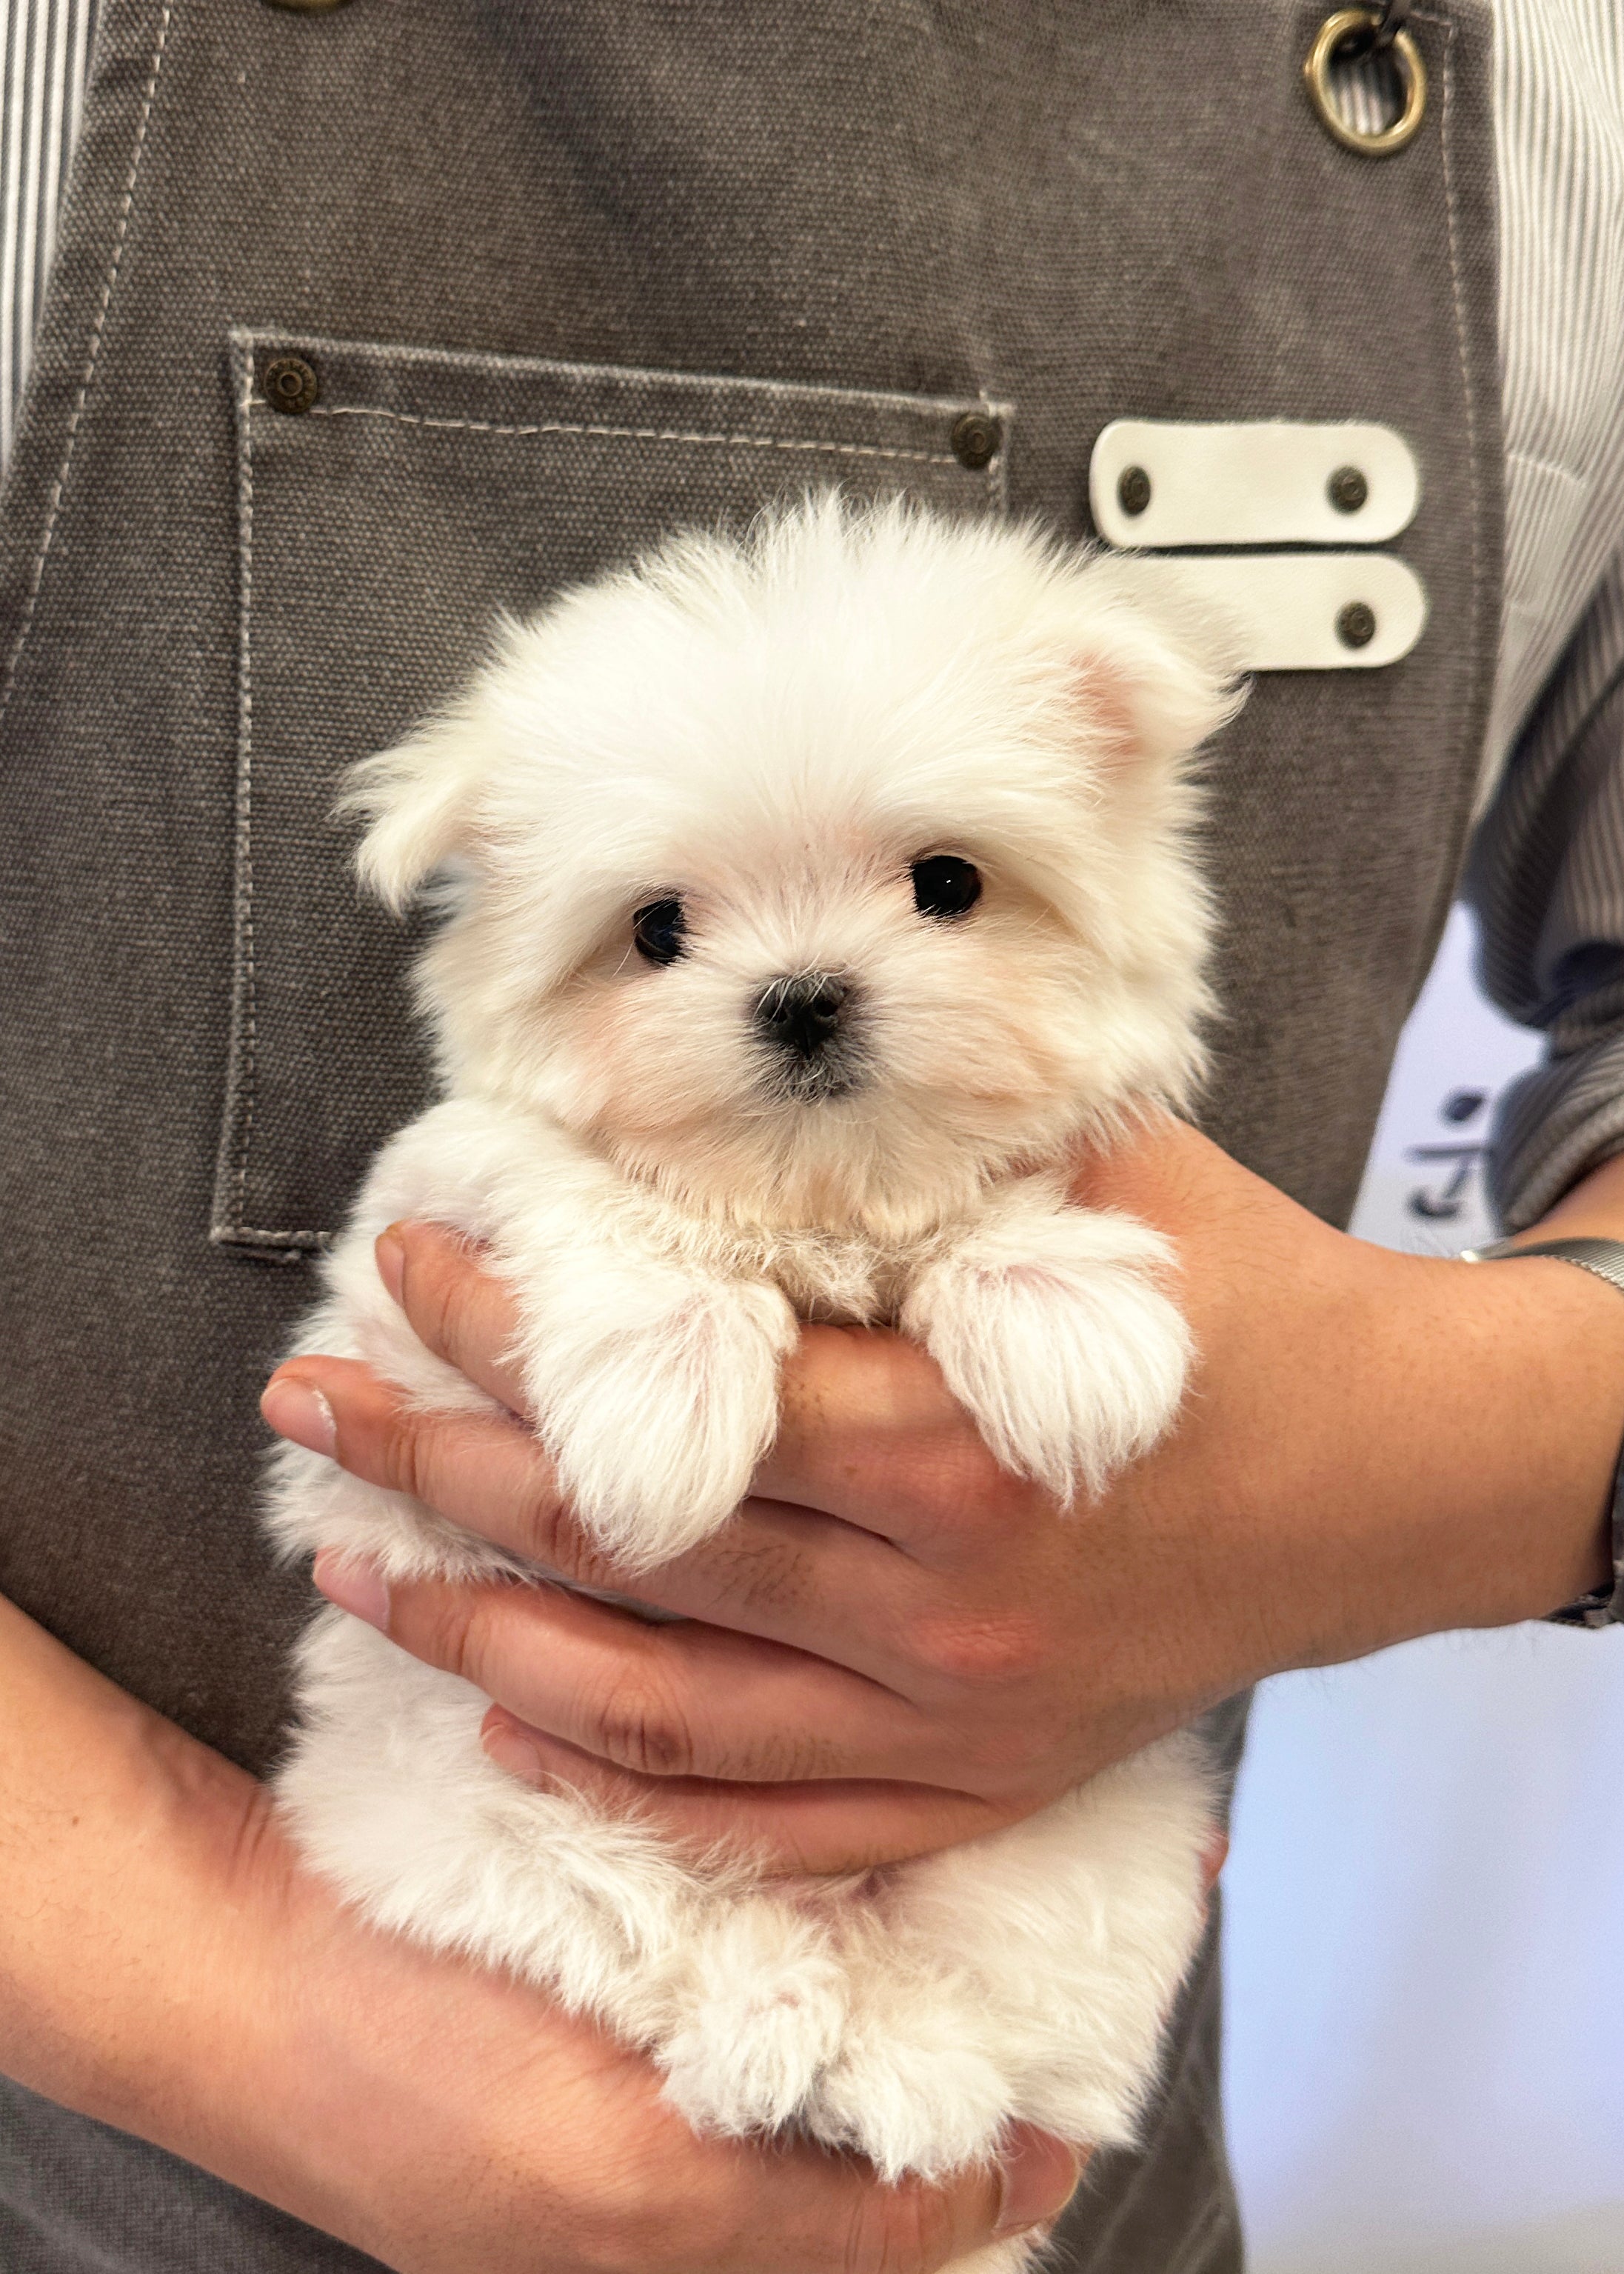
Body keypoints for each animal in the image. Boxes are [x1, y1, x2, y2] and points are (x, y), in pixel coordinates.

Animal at [268, 498, 1228, 2274]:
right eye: (655, 929)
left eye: (944, 884)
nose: (800, 997)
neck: (811, 1200)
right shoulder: (417, 1247)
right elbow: (588, 1196)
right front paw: (666, 1396)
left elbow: (993, 1194)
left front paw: (1057, 1314)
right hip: (492, 1805)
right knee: (657, 1938)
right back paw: (772, 2022)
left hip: (1078, 1844)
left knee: (1001, 2028)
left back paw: (904, 2066)